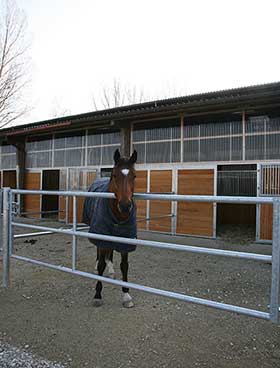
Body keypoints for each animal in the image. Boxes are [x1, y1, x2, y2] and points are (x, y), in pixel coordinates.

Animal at [82, 149, 137, 308]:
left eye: (134, 176)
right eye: (114, 175)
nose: (125, 206)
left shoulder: (125, 239)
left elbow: (124, 265)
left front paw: (126, 296)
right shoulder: (102, 234)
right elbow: (101, 264)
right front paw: (97, 295)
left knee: (110, 251)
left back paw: (111, 270)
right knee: (99, 252)